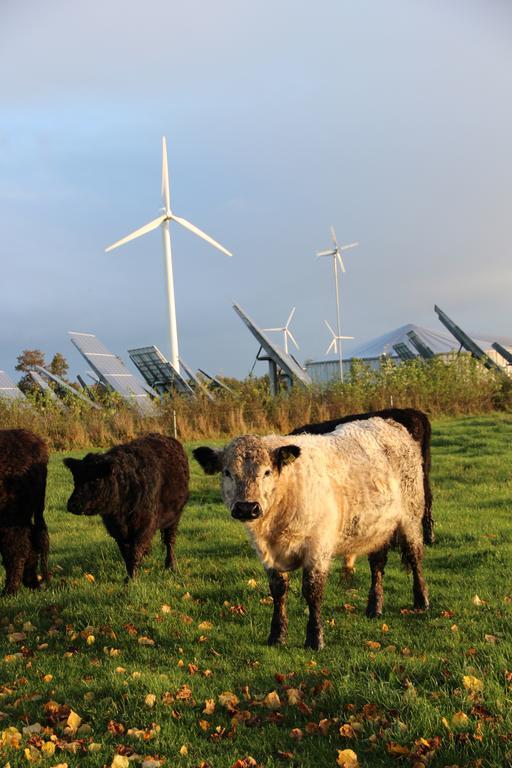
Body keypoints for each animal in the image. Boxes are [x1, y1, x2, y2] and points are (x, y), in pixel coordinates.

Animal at [65, 436, 189, 580]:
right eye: (76, 479)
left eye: (96, 479)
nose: (72, 504)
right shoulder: (117, 530)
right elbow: (126, 553)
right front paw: (130, 575)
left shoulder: (144, 525)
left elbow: (135, 551)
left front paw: (132, 578)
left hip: (174, 516)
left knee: (169, 540)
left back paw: (171, 566)